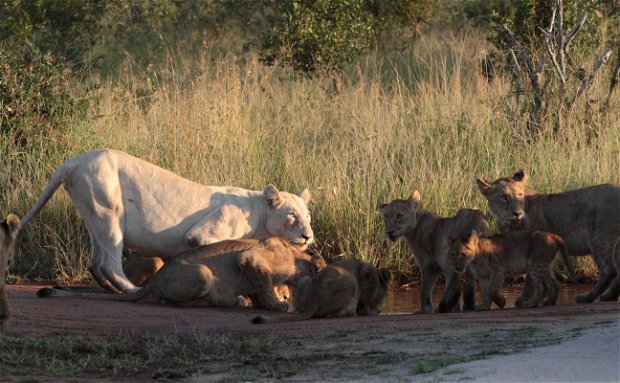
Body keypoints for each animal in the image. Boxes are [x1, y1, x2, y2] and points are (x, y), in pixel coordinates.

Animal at [39, 238, 326, 310]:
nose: (288, 296)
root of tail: (157, 278)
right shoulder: (251, 259)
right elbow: (265, 285)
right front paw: (278, 304)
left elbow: (259, 288)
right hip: (202, 272)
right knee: (173, 300)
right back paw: (229, 301)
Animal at [251, 258, 388, 324]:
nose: (380, 310)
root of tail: (314, 295)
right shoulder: (368, 271)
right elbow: (366, 304)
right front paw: (372, 312)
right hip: (351, 280)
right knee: (329, 314)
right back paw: (350, 313)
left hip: (305, 279)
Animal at [478, 171, 616, 304]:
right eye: (503, 197)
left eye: (520, 195)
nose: (517, 213)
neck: (510, 223)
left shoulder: (534, 245)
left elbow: (530, 278)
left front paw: (525, 299)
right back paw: (608, 297)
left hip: (600, 238)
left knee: (609, 270)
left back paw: (587, 298)